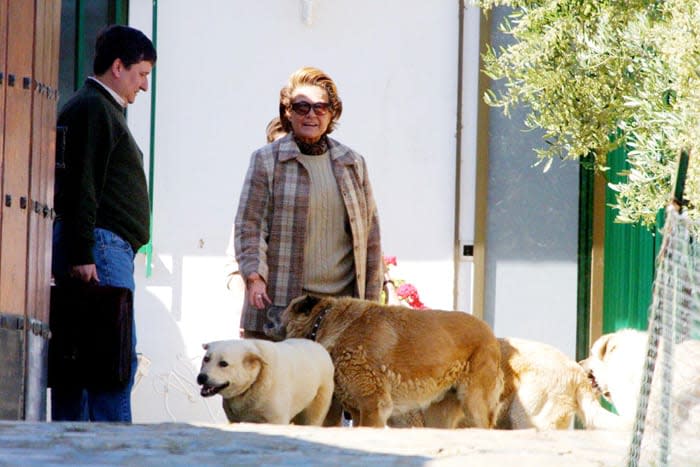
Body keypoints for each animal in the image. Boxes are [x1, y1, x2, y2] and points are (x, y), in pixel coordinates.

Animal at [197, 338, 336, 426]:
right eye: (206, 359)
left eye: (223, 363)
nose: (201, 377)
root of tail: (319, 346)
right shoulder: (235, 420)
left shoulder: (277, 420)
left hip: (316, 407)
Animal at [278, 294, 504, 430]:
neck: (326, 323)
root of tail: (490, 334)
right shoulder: (357, 410)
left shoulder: (373, 406)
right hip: (439, 414)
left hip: (474, 404)